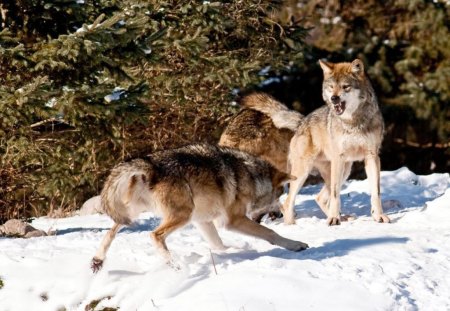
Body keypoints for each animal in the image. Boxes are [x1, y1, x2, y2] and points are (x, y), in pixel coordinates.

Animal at [91, 144, 310, 272]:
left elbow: (218, 244)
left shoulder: (203, 221)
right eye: (279, 196)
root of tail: (151, 165)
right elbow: (270, 233)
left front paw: (234, 251)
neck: (252, 176)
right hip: (182, 215)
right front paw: (295, 244)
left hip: (131, 214)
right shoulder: (233, 220)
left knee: (110, 232)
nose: (280, 213)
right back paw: (174, 265)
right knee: (155, 235)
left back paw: (97, 260)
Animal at [282, 58, 390, 225]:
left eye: (345, 87)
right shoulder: (338, 158)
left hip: (344, 171)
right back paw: (293, 226)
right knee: (287, 203)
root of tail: (301, 122)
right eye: (331, 87)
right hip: (304, 173)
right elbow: (335, 195)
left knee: (318, 198)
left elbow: (376, 192)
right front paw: (333, 219)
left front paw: (379, 216)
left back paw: (342, 217)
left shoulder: (372, 156)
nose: (334, 98)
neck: (352, 122)